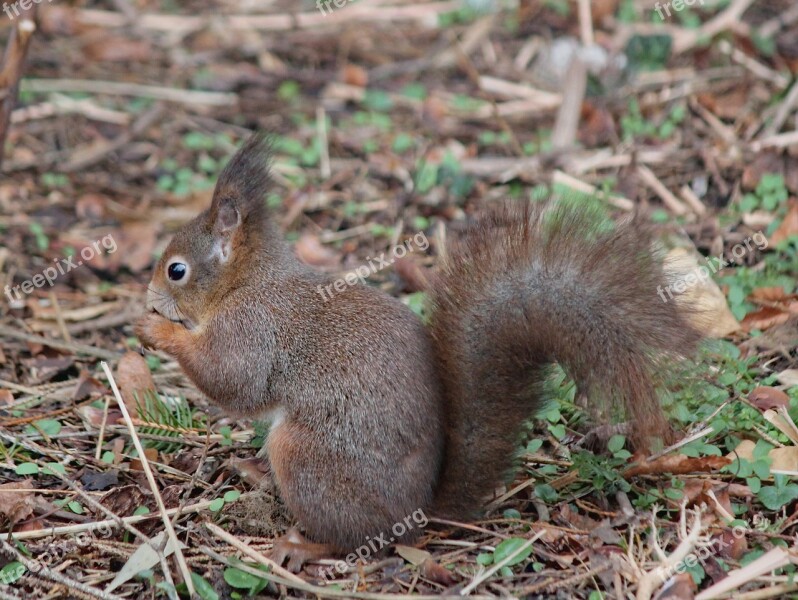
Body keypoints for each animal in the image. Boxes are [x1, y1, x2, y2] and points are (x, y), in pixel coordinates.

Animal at [134, 134, 704, 568]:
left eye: (177, 270)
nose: (150, 296)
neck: (246, 281)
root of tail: (418, 512)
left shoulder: (251, 328)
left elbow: (232, 379)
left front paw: (157, 330)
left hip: (308, 457)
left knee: (356, 539)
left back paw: (303, 543)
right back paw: (254, 472)